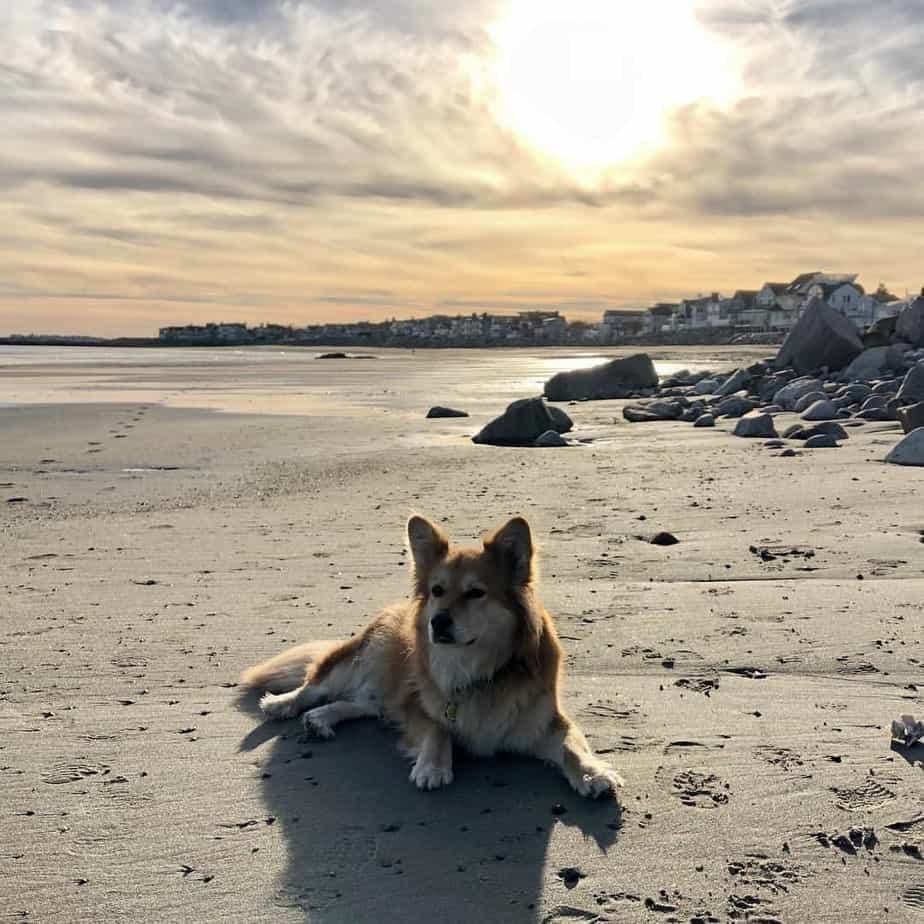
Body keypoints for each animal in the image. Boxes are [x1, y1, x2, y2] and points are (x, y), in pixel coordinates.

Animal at [242, 516, 624, 796]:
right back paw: (282, 704)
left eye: (475, 593)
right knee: (316, 685)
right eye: (437, 590)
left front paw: (592, 774)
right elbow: (437, 730)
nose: (437, 622)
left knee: (363, 703)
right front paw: (433, 766)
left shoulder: (547, 721)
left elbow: (572, 746)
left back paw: (320, 719)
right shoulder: (418, 707)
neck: (480, 670)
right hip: (364, 655)